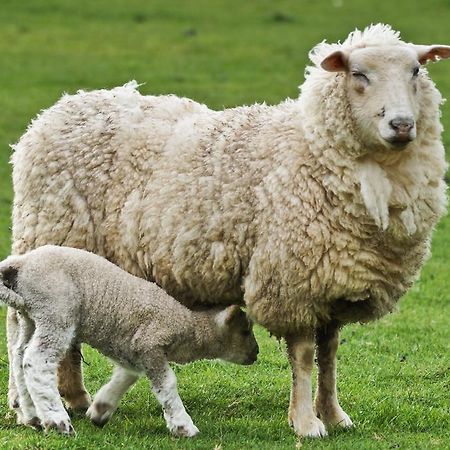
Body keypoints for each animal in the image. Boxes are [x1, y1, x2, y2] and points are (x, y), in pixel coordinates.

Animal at [0, 246, 258, 436]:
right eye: (246, 331)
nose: (256, 353)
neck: (184, 325)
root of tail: (21, 263)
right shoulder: (150, 343)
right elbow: (167, 384)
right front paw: (183, 426)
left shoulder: (130, 349)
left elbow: (127, 376)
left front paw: (100, 410)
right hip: (56, 310)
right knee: (36, 361)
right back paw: (56, 421)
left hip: (31, 316)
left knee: (19, 356)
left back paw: (32, 415)